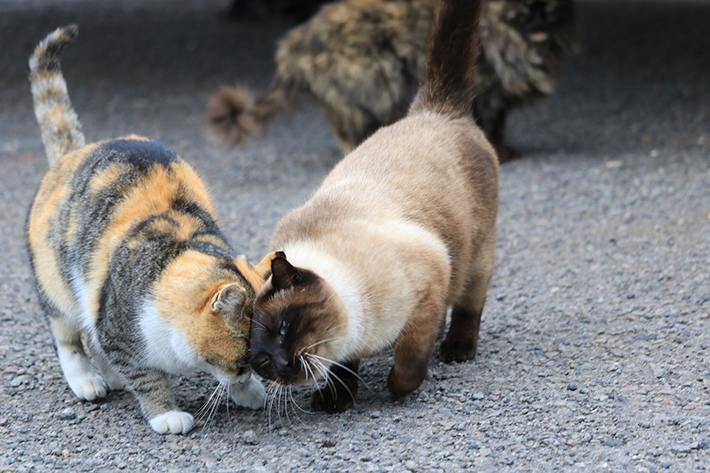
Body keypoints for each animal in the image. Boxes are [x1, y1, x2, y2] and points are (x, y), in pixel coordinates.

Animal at [25, 24, 276, 434]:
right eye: (244, 358)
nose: (256, 374)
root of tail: (74, 152)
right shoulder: (117, 324)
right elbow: (145, 376)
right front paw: (167, 415)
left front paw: (247, 392)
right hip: (57, 286)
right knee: (68, 338)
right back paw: (88, 380)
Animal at [206, 0, 580, 160]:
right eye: (525, 8)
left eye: (551, 6)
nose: (540, 16)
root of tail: (293, 45)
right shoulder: (488, 88)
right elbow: (492, 125)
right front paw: (502, 152)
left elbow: (499, 124)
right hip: (372, 82)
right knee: (347, 132)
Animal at [250, 0, 500, 412]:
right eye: (263, 361)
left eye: (285, 328)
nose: (285, 365)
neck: (360, 330)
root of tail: (433, 110)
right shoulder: (350, 346)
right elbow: (343, 368)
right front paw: (335, 401)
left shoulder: (429, 279)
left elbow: (408, 364)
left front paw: (397, 388)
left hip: (476, 257)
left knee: (468, 302)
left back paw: (456, 349)